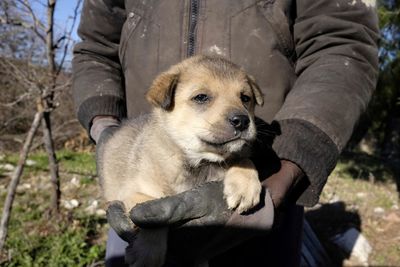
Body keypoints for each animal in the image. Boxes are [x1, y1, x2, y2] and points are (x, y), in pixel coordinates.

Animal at [99, 55, 264, 266]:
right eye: (201, 97)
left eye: (245, 98)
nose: (242, 121)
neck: (200, 162)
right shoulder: (132, 193)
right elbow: (151, 217)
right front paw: (148, 253)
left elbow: (243, 159)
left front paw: (245, 188)